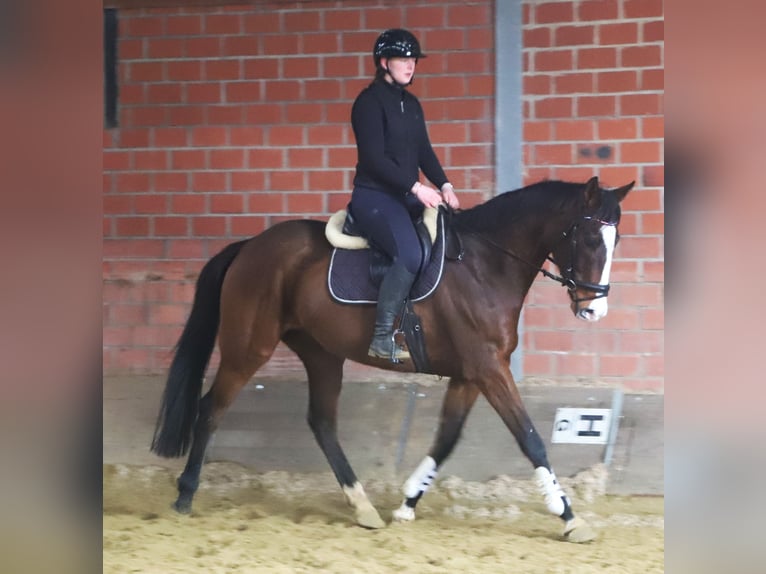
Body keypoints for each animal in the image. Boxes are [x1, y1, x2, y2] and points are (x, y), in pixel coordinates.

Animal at [151, 176, 633, 542]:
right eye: (591, 237)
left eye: (617, 239)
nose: (594, 310)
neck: (485, 264)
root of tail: (250, 246)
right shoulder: (487, 368)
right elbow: (530, 438)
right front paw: (569, 518)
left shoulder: (470, 374)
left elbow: (446, 439)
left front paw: (407, 503)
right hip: (249, 347)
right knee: (211, 409)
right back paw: (185, 495)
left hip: (322, 354)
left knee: (321, 422)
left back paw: (363, 506)